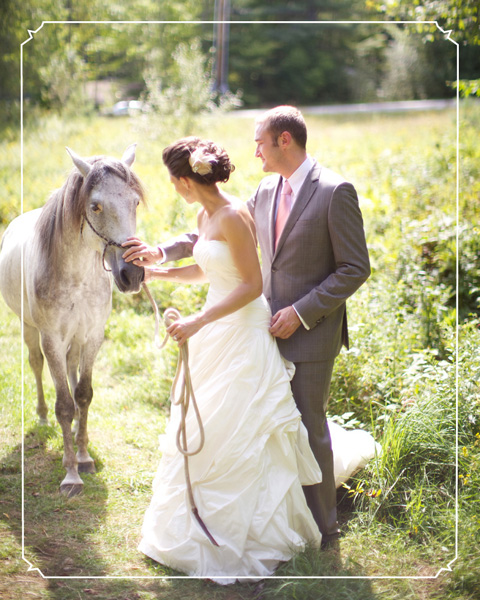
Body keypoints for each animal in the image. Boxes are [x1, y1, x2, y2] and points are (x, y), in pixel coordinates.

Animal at [0, 145, 146, 496]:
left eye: (135, 202)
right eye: (95, 206)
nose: (133, 274)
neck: (78, 277)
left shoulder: (92, 336)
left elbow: (83, 394)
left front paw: (83, 457)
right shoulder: (52, 338)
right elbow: (64, 404)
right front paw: (70, 474)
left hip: (75, 341)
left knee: (70, 371)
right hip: (29, 329)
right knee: (36, 365)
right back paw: (41, 417)